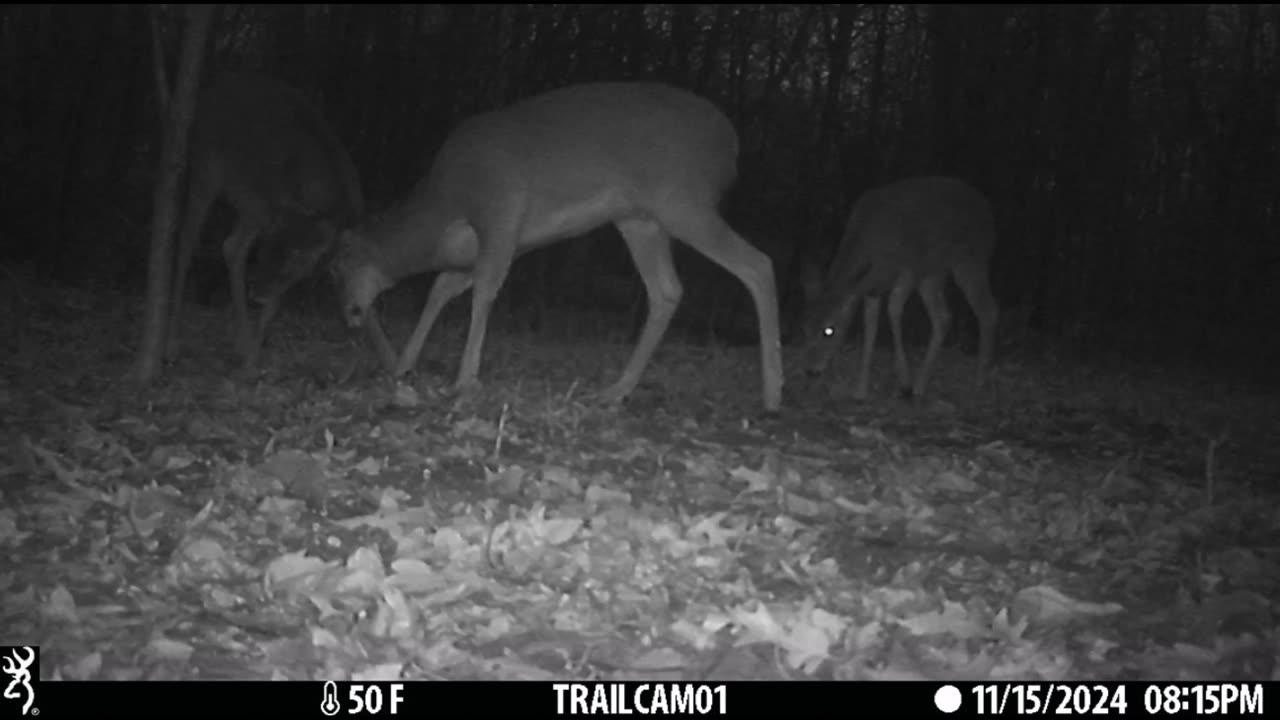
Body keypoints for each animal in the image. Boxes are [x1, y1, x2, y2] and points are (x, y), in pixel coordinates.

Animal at [167, 71, 391, 368]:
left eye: (300, 258)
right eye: (265, 250)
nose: (255, 293)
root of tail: (209, 93)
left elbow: (364, 297)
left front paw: (393, 358)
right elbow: (276, 303)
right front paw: (252, 361)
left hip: (248, 206)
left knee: (232, 246)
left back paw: (241, 341)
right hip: (207, 168)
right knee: (187, 240)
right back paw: (173, 338)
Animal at [330, 81, 783, 409]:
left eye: (338, 264)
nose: (349, 314)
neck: (443, 208)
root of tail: (731, 141)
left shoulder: (500, 210)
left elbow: (483, 290)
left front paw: (463, 381)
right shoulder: (505, 243)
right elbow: (441, 288)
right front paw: (403, 366)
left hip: (681, 200)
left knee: (757, 263)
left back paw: (773, 393)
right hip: (639, 219)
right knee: (667, 289)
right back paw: (616, 390)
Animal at [798, 174, 998, 397]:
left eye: (829, 331)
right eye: (805, 329)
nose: (812, 371)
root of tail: (987, 209)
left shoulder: (908, 268)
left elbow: (893, 310)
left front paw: (903, 379)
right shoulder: (873, 285)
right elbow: (870, 328)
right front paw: (861, 390)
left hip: (970, 260)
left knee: (988, 311)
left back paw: (979, 380)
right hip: (933, 273)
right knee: (943, 316)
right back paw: (921, 385)